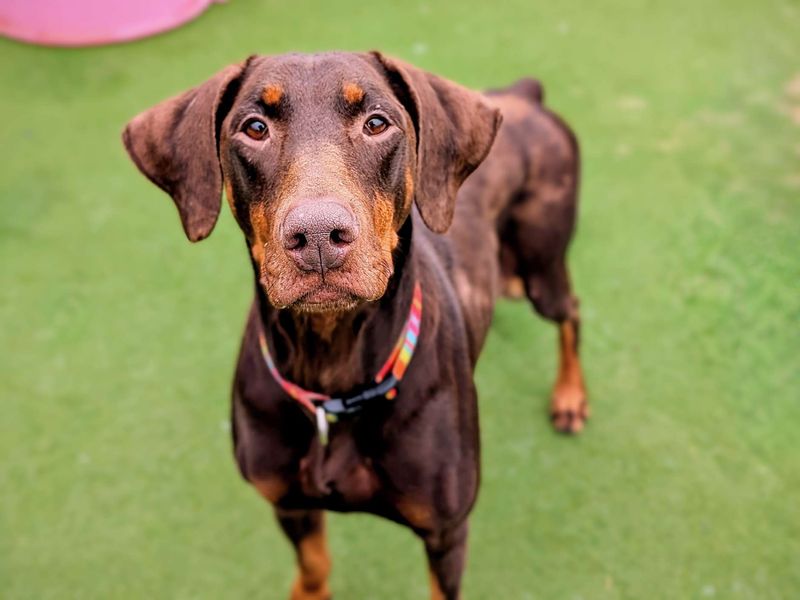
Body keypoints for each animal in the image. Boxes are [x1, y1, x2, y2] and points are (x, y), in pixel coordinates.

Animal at [125, 52, 588, 600]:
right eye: (254, 127)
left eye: (377, 123)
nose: (318, 235)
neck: (334, 371)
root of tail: (523, 95)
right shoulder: (289, 502)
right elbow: (313, 563)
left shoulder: (446, 532)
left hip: (542, 269)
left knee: (571, 311)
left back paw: (570, 397)